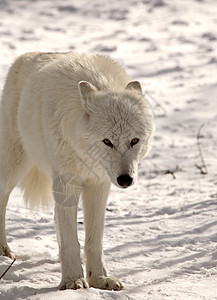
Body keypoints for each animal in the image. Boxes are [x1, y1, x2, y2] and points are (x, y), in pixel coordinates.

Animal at [0, 52, 154, 290]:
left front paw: (99, 279)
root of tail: (24, 56)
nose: (125, 179)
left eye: (134, 141)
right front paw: (72, 281)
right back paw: (3, 251)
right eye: (107, 141)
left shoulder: (98, 184)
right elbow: (71, 241)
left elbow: (93, 239)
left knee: (57, 219)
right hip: (14, 167)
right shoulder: (67, 182)